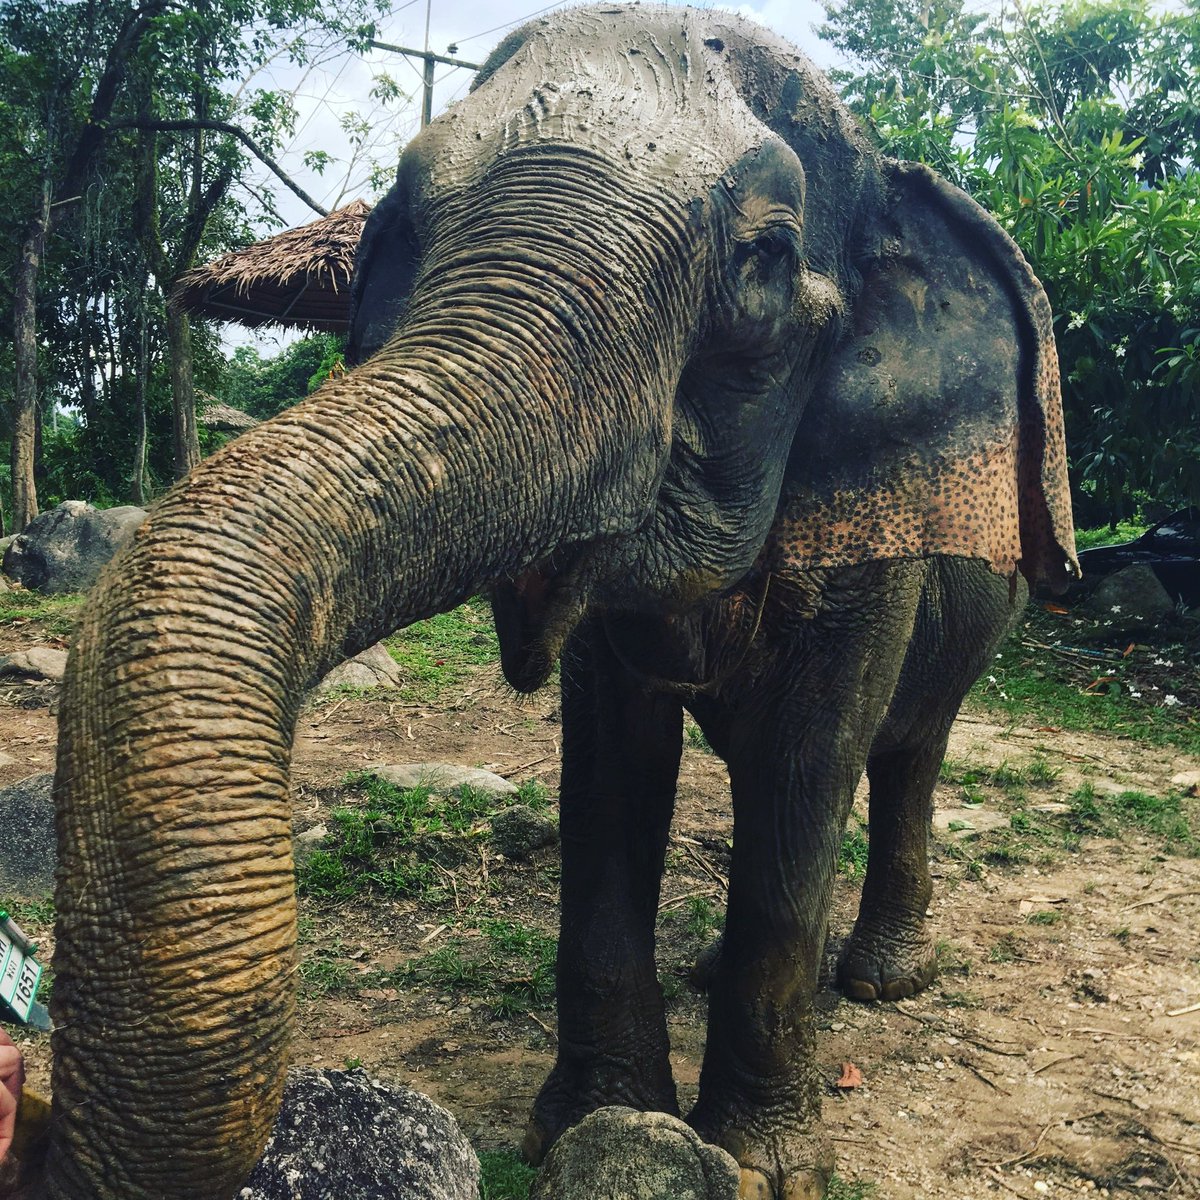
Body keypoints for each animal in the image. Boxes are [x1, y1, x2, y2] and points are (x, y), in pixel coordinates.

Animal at [24, 5, 1078, 1198]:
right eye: (402, 217)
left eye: (763, 256)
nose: (38, 1118)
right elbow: (612, 769)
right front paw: (593, 1120)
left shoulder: (869, 529)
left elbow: (810, 758)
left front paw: (758, 1164)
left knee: (904, 753)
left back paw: (880, 982)